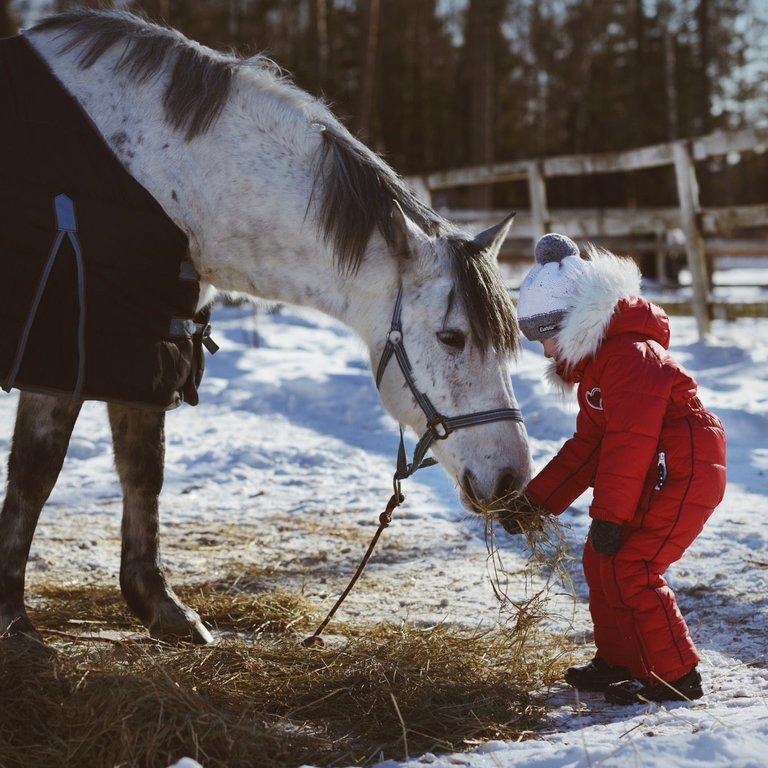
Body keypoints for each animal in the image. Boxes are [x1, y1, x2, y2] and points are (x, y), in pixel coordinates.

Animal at [0, 9, 532, 644]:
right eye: (452, 337)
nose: (512, 479)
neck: (173, 179)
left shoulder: (145, 335)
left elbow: (143, 471)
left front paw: (161, 607)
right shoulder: (67, 338)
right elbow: (36, 470)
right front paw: (11, 617)